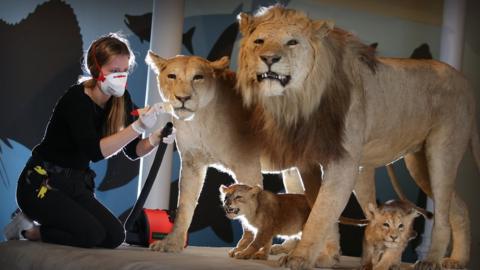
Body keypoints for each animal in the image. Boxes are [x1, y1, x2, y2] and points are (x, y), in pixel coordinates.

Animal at [235, 4, 476, 270]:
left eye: (292, 42)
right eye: (259, 41)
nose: (269, 58)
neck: (296, 101)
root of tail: (465, 80)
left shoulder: (344, 162)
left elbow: (321, 212)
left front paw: (299, 257)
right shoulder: (305, 161)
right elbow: (316, 205)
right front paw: (326, 257)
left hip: (441, 153)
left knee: (442, 214)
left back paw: (430, 260)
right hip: (419, 163)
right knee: (459, 207)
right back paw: (458, 259)